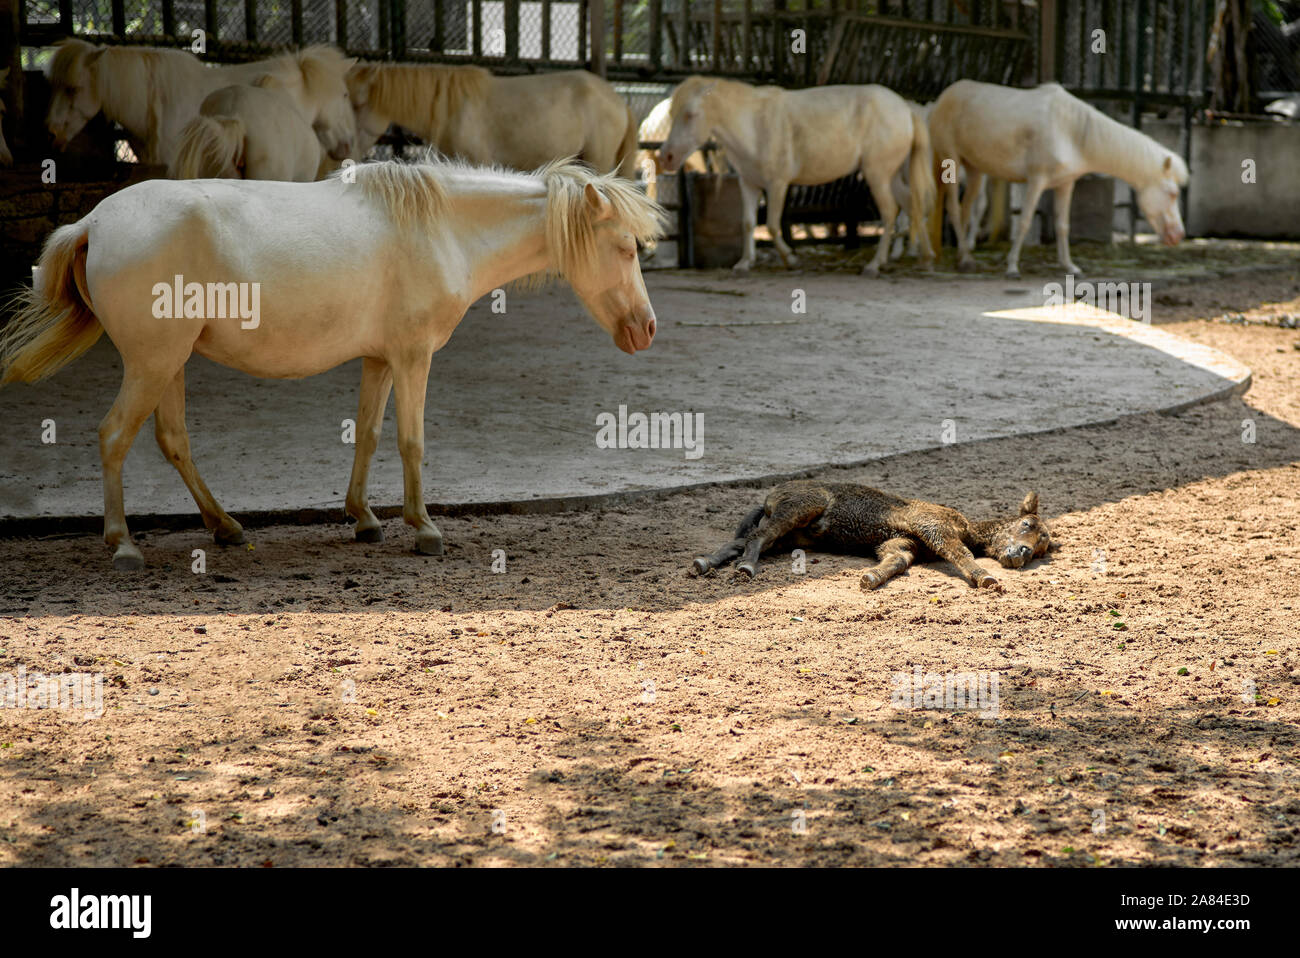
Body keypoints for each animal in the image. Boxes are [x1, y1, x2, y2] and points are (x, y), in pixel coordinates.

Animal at [0, 157, 664, 570]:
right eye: (625, 247)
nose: (646, 329)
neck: (443, 230)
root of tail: (94, 222)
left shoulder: (380, 359)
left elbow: (367, 434)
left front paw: (364, 519)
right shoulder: (414, 358)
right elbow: (411, 442)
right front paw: (424, 530)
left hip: (168, 364)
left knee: (172, 440)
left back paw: (225, 527)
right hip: (151, 362)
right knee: (115, 436)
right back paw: (124, 546)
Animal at [658, 76, 935, 275]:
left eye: (690, 114)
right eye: (671, 114)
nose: (667, 157)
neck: (754, 125)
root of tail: (906, 108)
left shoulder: (777, 184)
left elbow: (771, 224)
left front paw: (790, 259)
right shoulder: (748, 183)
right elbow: (748, 222)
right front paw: (744, 263)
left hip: (877, 174)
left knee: (890, 212)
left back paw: (875, 264)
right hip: (893, 175)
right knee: (912, 204)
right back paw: (925, 258)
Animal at [927, 80, 1189, 277]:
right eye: (1173, 193)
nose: (1179, 236)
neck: (1071, 132)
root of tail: (940, 99)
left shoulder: (1065, 184)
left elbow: (1063, 226)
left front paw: (1070, 266)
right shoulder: (1036, 180)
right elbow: (1024, 221)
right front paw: (1012, 267)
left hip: (974, 169)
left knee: (966, 207)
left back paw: (963, 256)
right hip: (951, 160)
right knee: (953, 207)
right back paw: (964, 260)